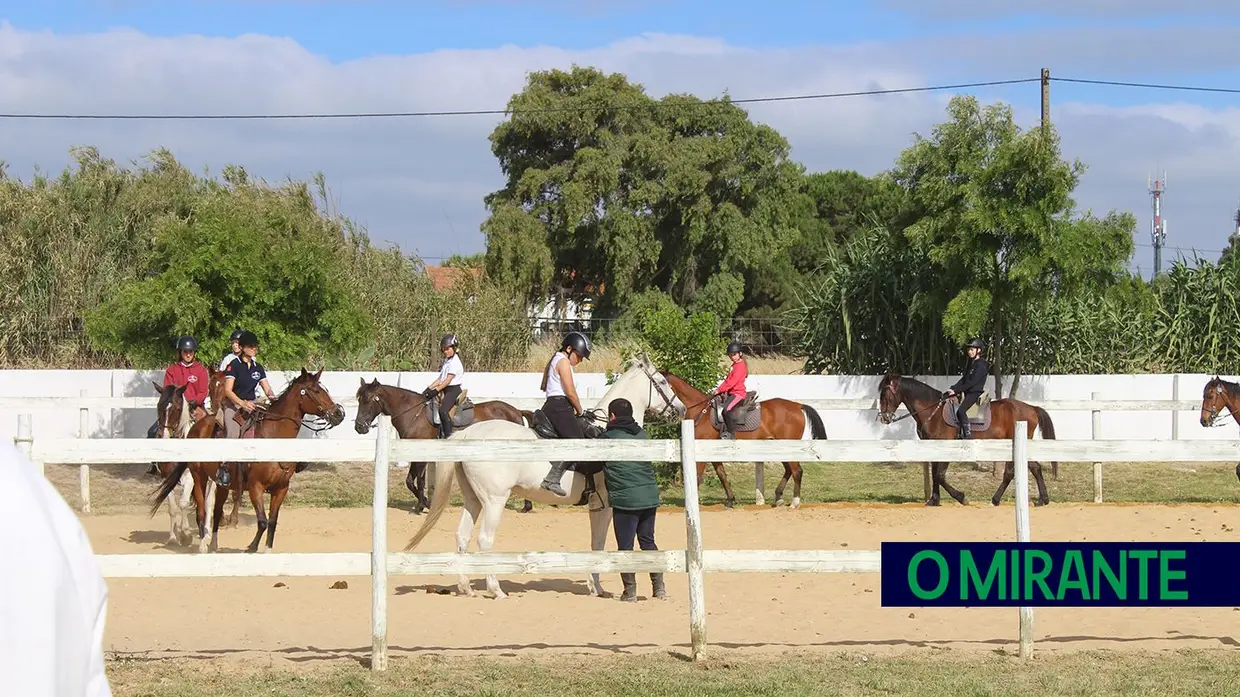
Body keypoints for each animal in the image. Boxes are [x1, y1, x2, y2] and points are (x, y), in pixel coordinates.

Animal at [148, 367, 344, 550]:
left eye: (323, 389)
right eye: (315, 391)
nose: (338, 413)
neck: (273, 435)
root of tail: (197, 427)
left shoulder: (281, 488)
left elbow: (272, 521)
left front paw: (265, 549)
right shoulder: (256, 486)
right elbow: (262, 521)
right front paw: (251, 547)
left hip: (220, 483)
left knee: (216, 511)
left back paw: (213, 544)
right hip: (198, 476)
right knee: (202, 511)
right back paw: (202, 544)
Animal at [354, 377, 538, 513]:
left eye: (369, 400)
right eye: (359, 400)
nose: (359, 427)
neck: (413, 413)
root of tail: (516, 411)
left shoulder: (422, 455)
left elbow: (419, 480)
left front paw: (422, 506)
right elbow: (410, 481)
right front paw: (425, 502)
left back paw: (527, 505)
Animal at [401, 352, 679, 597]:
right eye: (663, 381)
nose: (679, 408)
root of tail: (469, 433)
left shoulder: (595, 504)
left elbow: (595, 543)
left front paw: (594, 586)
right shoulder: (606, 504)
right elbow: (600, 542)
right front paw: (597, 587)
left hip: (473, 499)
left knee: (463, 535)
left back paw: (466, 586)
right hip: (494, 500)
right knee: (484, 540)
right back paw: (495, 589)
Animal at [654, 367, 828, 508]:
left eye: (661, 385)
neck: (700, 410)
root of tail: (798, 406)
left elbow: (697, 477)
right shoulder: (714, 452)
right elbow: (722, 475)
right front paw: (730, 501)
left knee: (797, 471)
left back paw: (795, 502)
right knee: (789, 470)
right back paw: (778, 497)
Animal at [872, 374, 1056, 503]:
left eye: (885, 394)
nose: (884, 418)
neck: (934, 412)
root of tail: (1031, 407)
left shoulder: (946, 447)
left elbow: (939, 475)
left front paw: (961, 497)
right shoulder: (934, 447)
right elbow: (935, 473)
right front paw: (934, 500)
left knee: (1015, 472)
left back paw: (998, 500)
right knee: (1032, 468)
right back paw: (1042, 499)